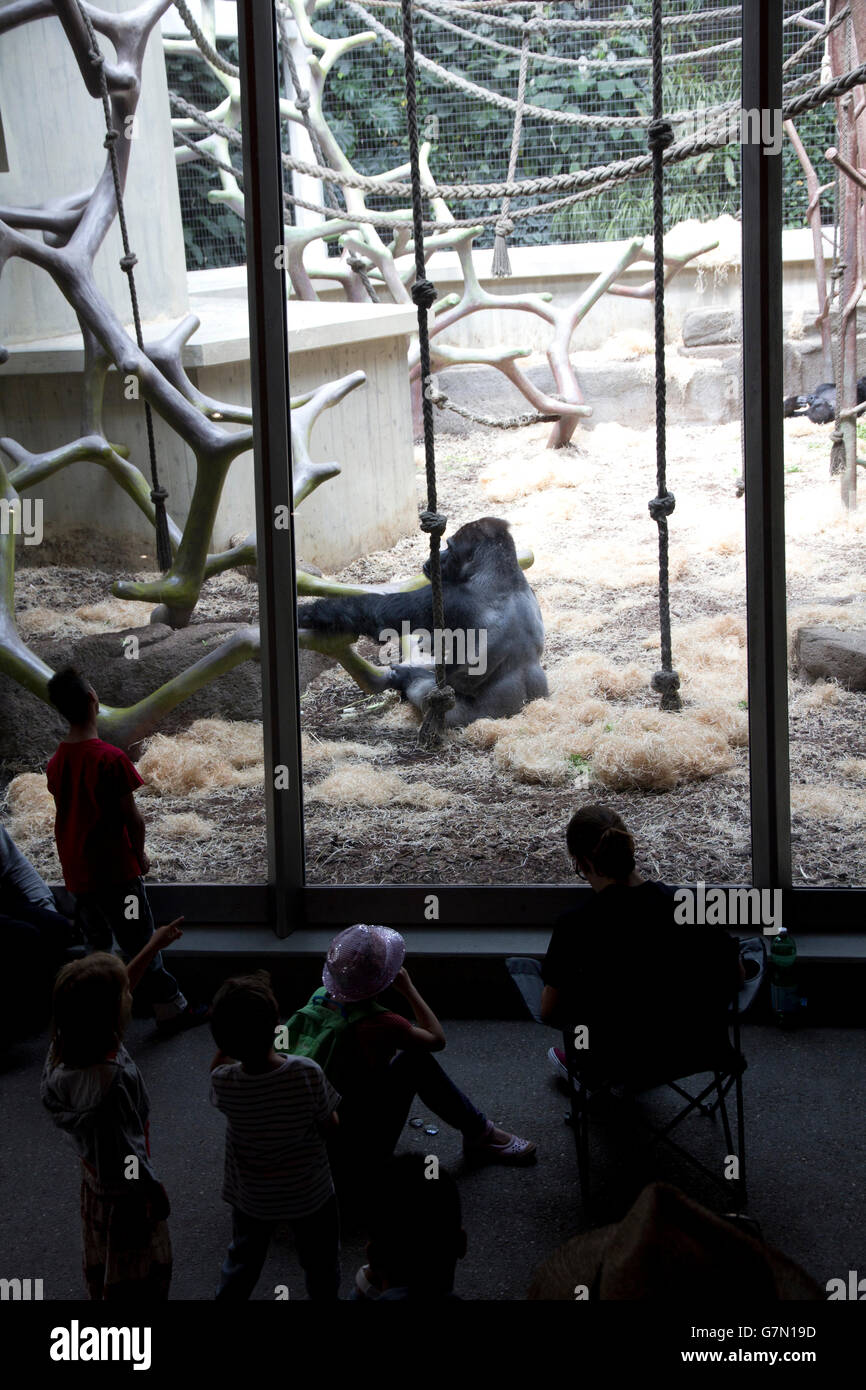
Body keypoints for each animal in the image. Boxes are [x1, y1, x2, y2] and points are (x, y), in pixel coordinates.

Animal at [297, 514, 547, 728]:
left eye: (450, 548)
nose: (439, 557)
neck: (501, 572)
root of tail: (520, 711)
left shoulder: (450, 596)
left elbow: (377, 616)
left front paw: (307, 612)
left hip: (466, 716)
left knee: (421, 686)